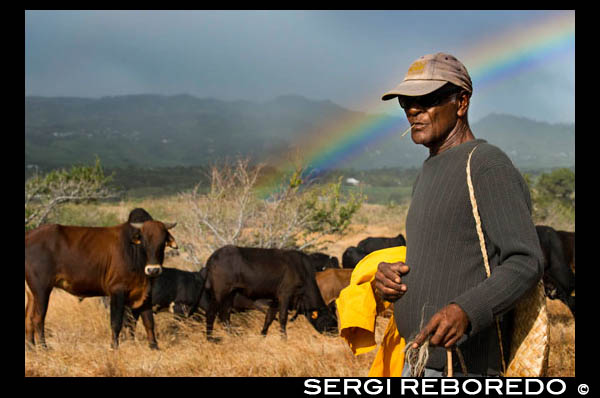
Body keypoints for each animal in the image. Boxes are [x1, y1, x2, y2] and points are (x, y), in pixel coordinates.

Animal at [25, 219, 176, 350]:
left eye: (162, 242)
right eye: (144, 242)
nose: (153, 269)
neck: (135, 254)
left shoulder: (145, 293)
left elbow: (149, 322)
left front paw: (154, 346)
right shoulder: (117, 291)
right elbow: (116, 322)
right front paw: (114, 347)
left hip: (32, 293)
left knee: (28, 318)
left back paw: (31, 347)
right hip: (42, 289)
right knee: (38, 318)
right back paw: (43, 347)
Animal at [205, 246, 338, 338]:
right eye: (329, 319)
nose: (336, 332)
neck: (302, 270)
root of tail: (213, 257)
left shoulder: (275, 301)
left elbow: (268, 319)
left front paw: (262, 336)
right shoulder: (285, 295)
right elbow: (282, 318)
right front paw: (284, 338)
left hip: (230, 295)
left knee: (225, 316)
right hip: (219, 294)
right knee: (212, 314)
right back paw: (211, 338)